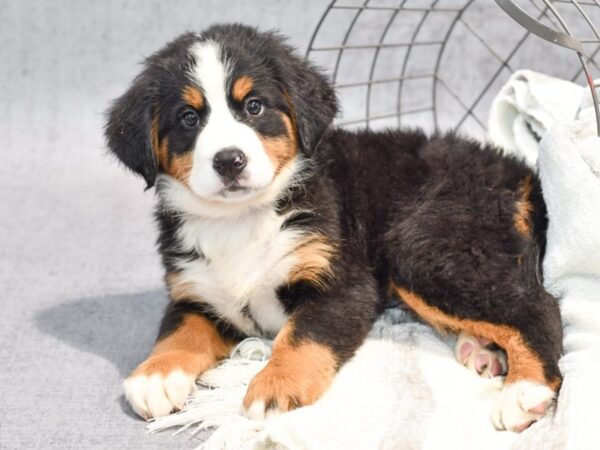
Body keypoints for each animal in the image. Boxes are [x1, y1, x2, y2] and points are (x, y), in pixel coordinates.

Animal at [104, 23, 564, 432]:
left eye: (253, 106)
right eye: (188, 118)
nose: (229, 160)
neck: (241, 220)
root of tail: (513, 167)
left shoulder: (342, 284)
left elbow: (300, 336)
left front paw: (276, 384)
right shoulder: (195, 291)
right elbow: (178, 331)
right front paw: (155, 376)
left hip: (422, 245)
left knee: (537, 306)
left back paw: (524, 391)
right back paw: (481, 350)